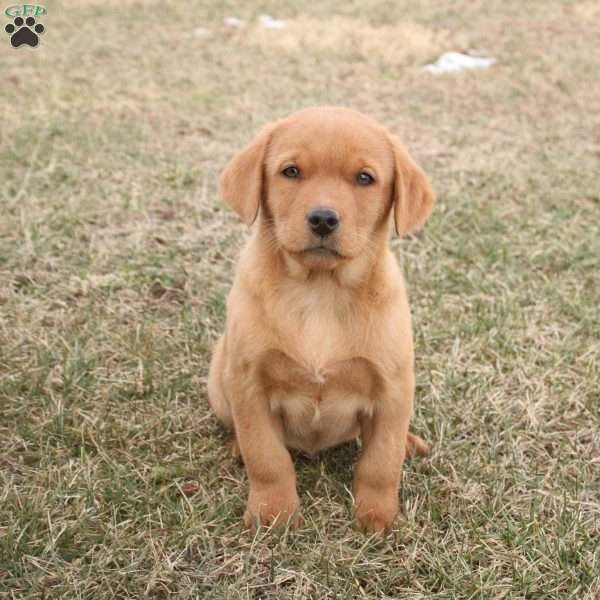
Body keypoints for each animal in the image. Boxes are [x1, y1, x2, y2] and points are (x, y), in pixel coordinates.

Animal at [209, 105, 434, 532]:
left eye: (365, 178)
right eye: (291, 171)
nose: (323, 219)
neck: (320, 291)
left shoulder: (393, 387)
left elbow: (381, 461)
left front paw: (377, 517)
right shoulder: (249, 385)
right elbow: (266, 456)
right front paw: (273, 514)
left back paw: (411, 443)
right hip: (219, 380)